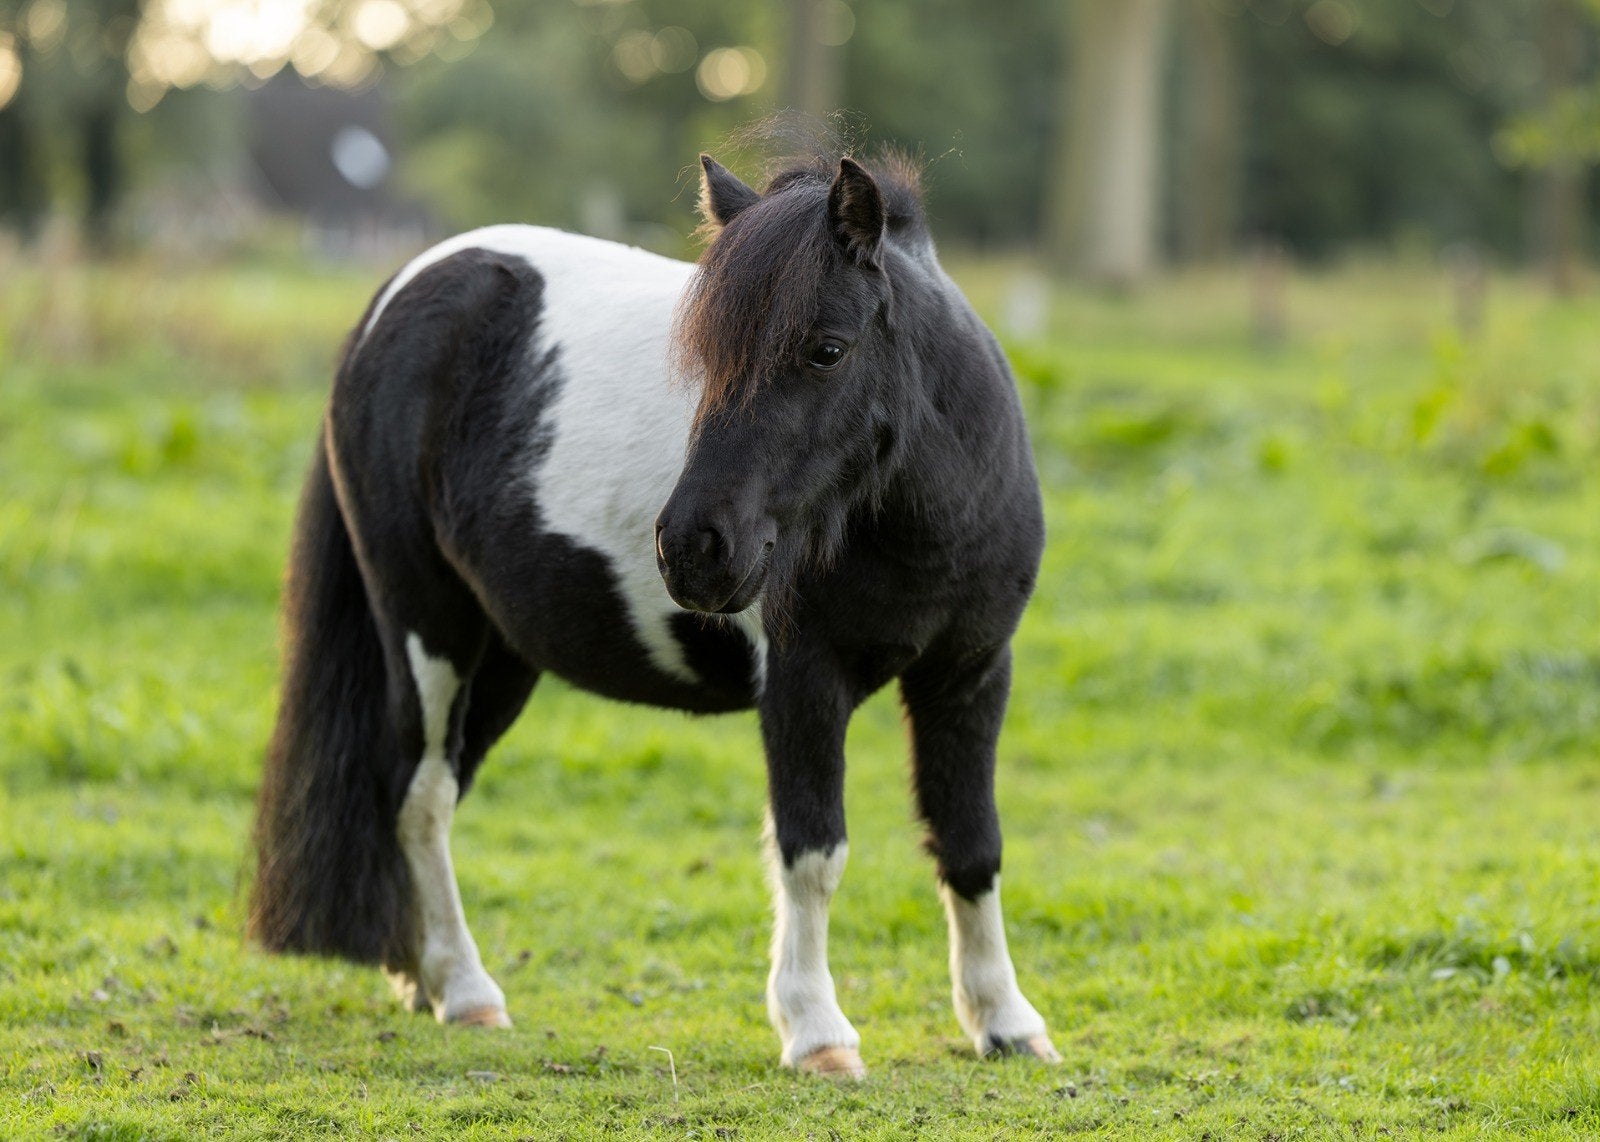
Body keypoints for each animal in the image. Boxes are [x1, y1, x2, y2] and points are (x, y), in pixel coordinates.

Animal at [248, 147, 1057, 1077]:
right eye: (702, 356)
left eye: (827, 350)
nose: (693, 548)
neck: (925, 518)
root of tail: (396, 298)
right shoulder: (804, 686)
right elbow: (812, 852)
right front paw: (817, 1032)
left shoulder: (971, 676)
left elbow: (972, 845)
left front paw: (1006, 1022)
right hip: (430, 631)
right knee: (419, 791)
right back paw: (465, 990)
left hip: (504, 659)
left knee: (436, 787)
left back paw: (421, 976)